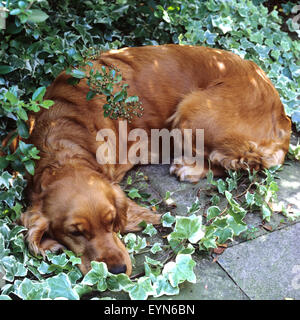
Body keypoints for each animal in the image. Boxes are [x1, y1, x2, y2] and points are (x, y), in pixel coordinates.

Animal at [20, 44, 290, 276]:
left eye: (111, 222)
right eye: (74, 233)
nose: (117, 270)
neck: (63, 135)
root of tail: (281, 114)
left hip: (191, 109)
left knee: (238, 164)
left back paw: (189, 168)